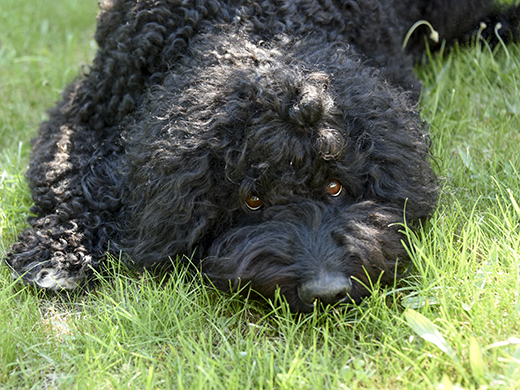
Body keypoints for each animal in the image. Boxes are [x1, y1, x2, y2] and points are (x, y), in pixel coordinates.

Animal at [5, 0, 520, 310]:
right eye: (252, 200)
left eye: (336, 186)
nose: (325, 290)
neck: (254, 20)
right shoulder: (88, 104)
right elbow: (73, 173)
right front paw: (56, 252)